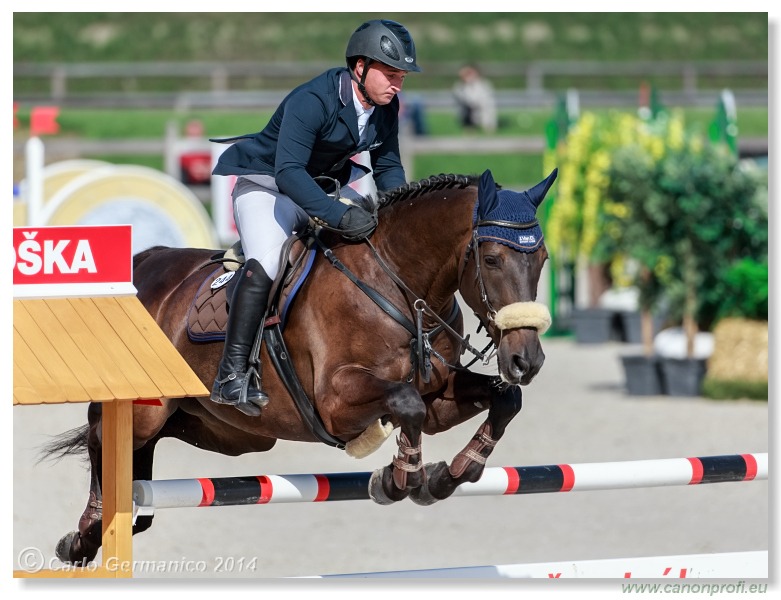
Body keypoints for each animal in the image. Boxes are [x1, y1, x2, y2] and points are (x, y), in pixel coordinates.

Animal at [47, 166, 556, 564]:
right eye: (492, 258)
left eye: (544, 258)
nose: (526, 360)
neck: (397, 284)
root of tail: (147, 262)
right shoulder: (336, 401)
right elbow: (406, 402)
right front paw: (400, 480)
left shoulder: (438, 397)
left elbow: (503, 400)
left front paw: (449, 475)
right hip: (146, 409)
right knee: (103, 436)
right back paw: (86, 533)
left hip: (227, 434)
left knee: (140, 450)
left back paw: (125, 517)